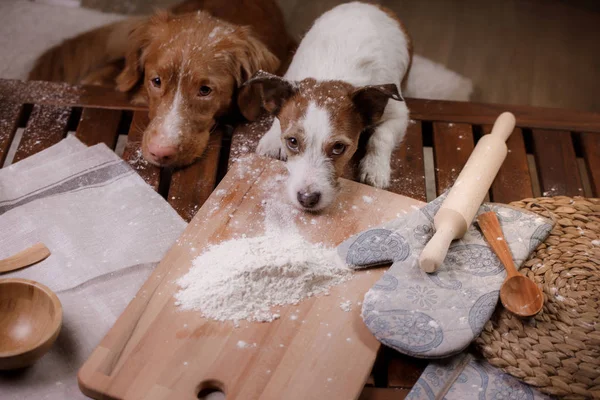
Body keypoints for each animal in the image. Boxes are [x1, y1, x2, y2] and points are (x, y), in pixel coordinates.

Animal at [239, 1, 412, 211]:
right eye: (292, 142)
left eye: (339, 147)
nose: (307, 199)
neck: (333, 70)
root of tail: (367, 4)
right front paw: (273, 140)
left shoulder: (399, 114)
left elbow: (381, 137)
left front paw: (375, 167)